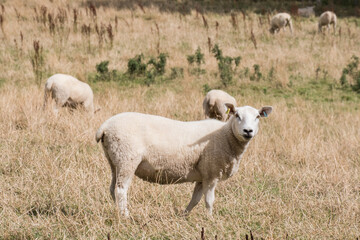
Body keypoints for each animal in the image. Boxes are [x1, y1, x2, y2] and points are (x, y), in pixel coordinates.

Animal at [94, 104, 272, 217]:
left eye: (257, 116)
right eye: (237, 115)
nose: (248, 131)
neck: (226, 136)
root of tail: (105, 126)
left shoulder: (203, 175)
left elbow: (195, 199)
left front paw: (184, 215)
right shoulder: (212, 173)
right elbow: (209, 200)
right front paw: (210, 219)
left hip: (114, 160)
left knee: (112, 189)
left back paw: (118, 212)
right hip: (127, 159)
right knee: (121, 190)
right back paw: (126, 216)